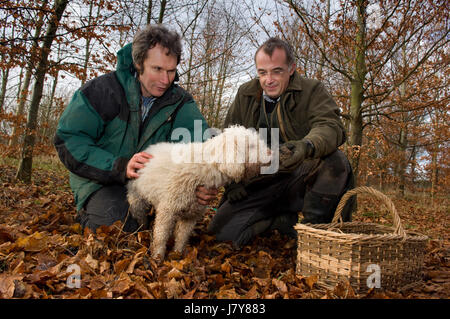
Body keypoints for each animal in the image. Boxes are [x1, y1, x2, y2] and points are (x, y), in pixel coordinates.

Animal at [126, 125, 270, 260]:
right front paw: (157, 258)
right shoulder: (167, 211)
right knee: (141, 216)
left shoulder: (191, 215)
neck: (203, 168)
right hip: (137, 199)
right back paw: (142, 231)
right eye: (251, 146)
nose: (271, 153)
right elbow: (161, 237)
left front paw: (178, 254)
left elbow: (182, 237)